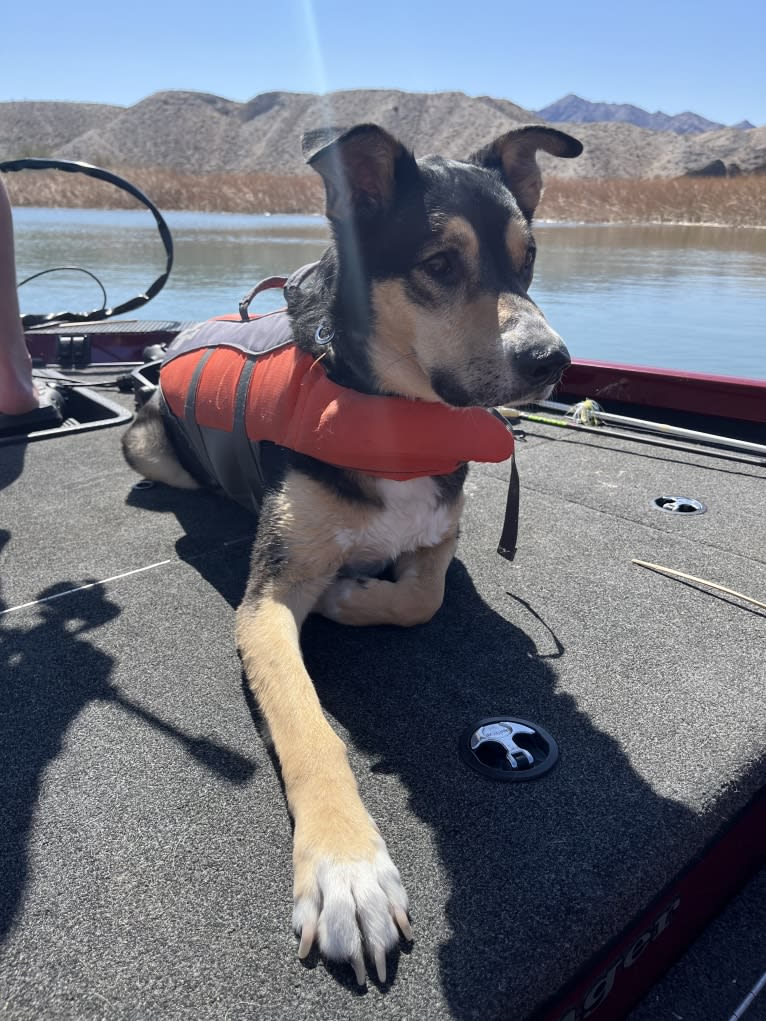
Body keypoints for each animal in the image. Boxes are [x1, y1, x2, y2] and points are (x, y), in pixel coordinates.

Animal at [123, 121, 584, 988]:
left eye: (530, 256)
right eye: (440, 263)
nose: (552, 359)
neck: (396, 416)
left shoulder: (442, 531)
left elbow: (422, 596)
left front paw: (353, 596)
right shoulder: (268, 600)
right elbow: (308, 725)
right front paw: (348, 869)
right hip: (145, 443)